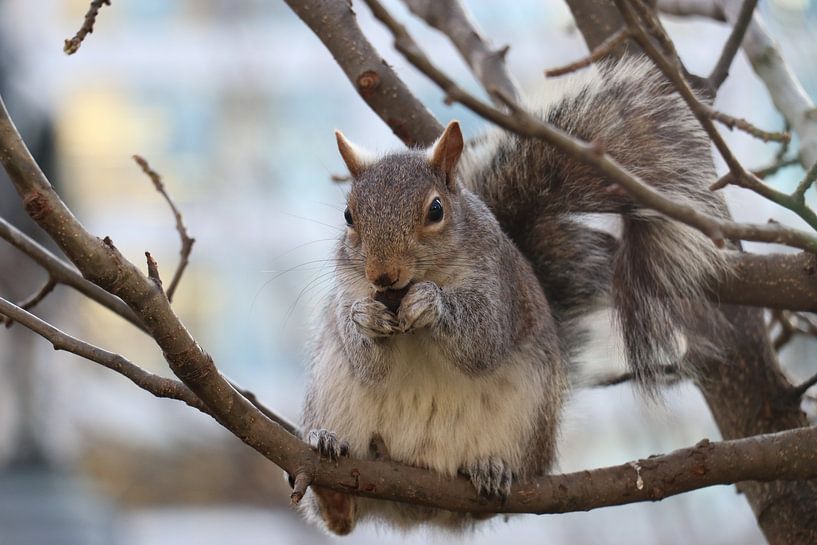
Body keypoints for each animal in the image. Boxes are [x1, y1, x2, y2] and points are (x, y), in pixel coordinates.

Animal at [298, 57, 728, 532]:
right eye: (348, 216)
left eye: (436, 210)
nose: (383, 275)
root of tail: (416, 505)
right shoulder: (348, 289)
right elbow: (366, 360)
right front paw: (366, 318)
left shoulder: (500, 288)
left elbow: (483, 341)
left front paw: (432, 304)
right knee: (339, 519)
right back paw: (330, 467)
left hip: (529, 422)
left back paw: (491, 469)